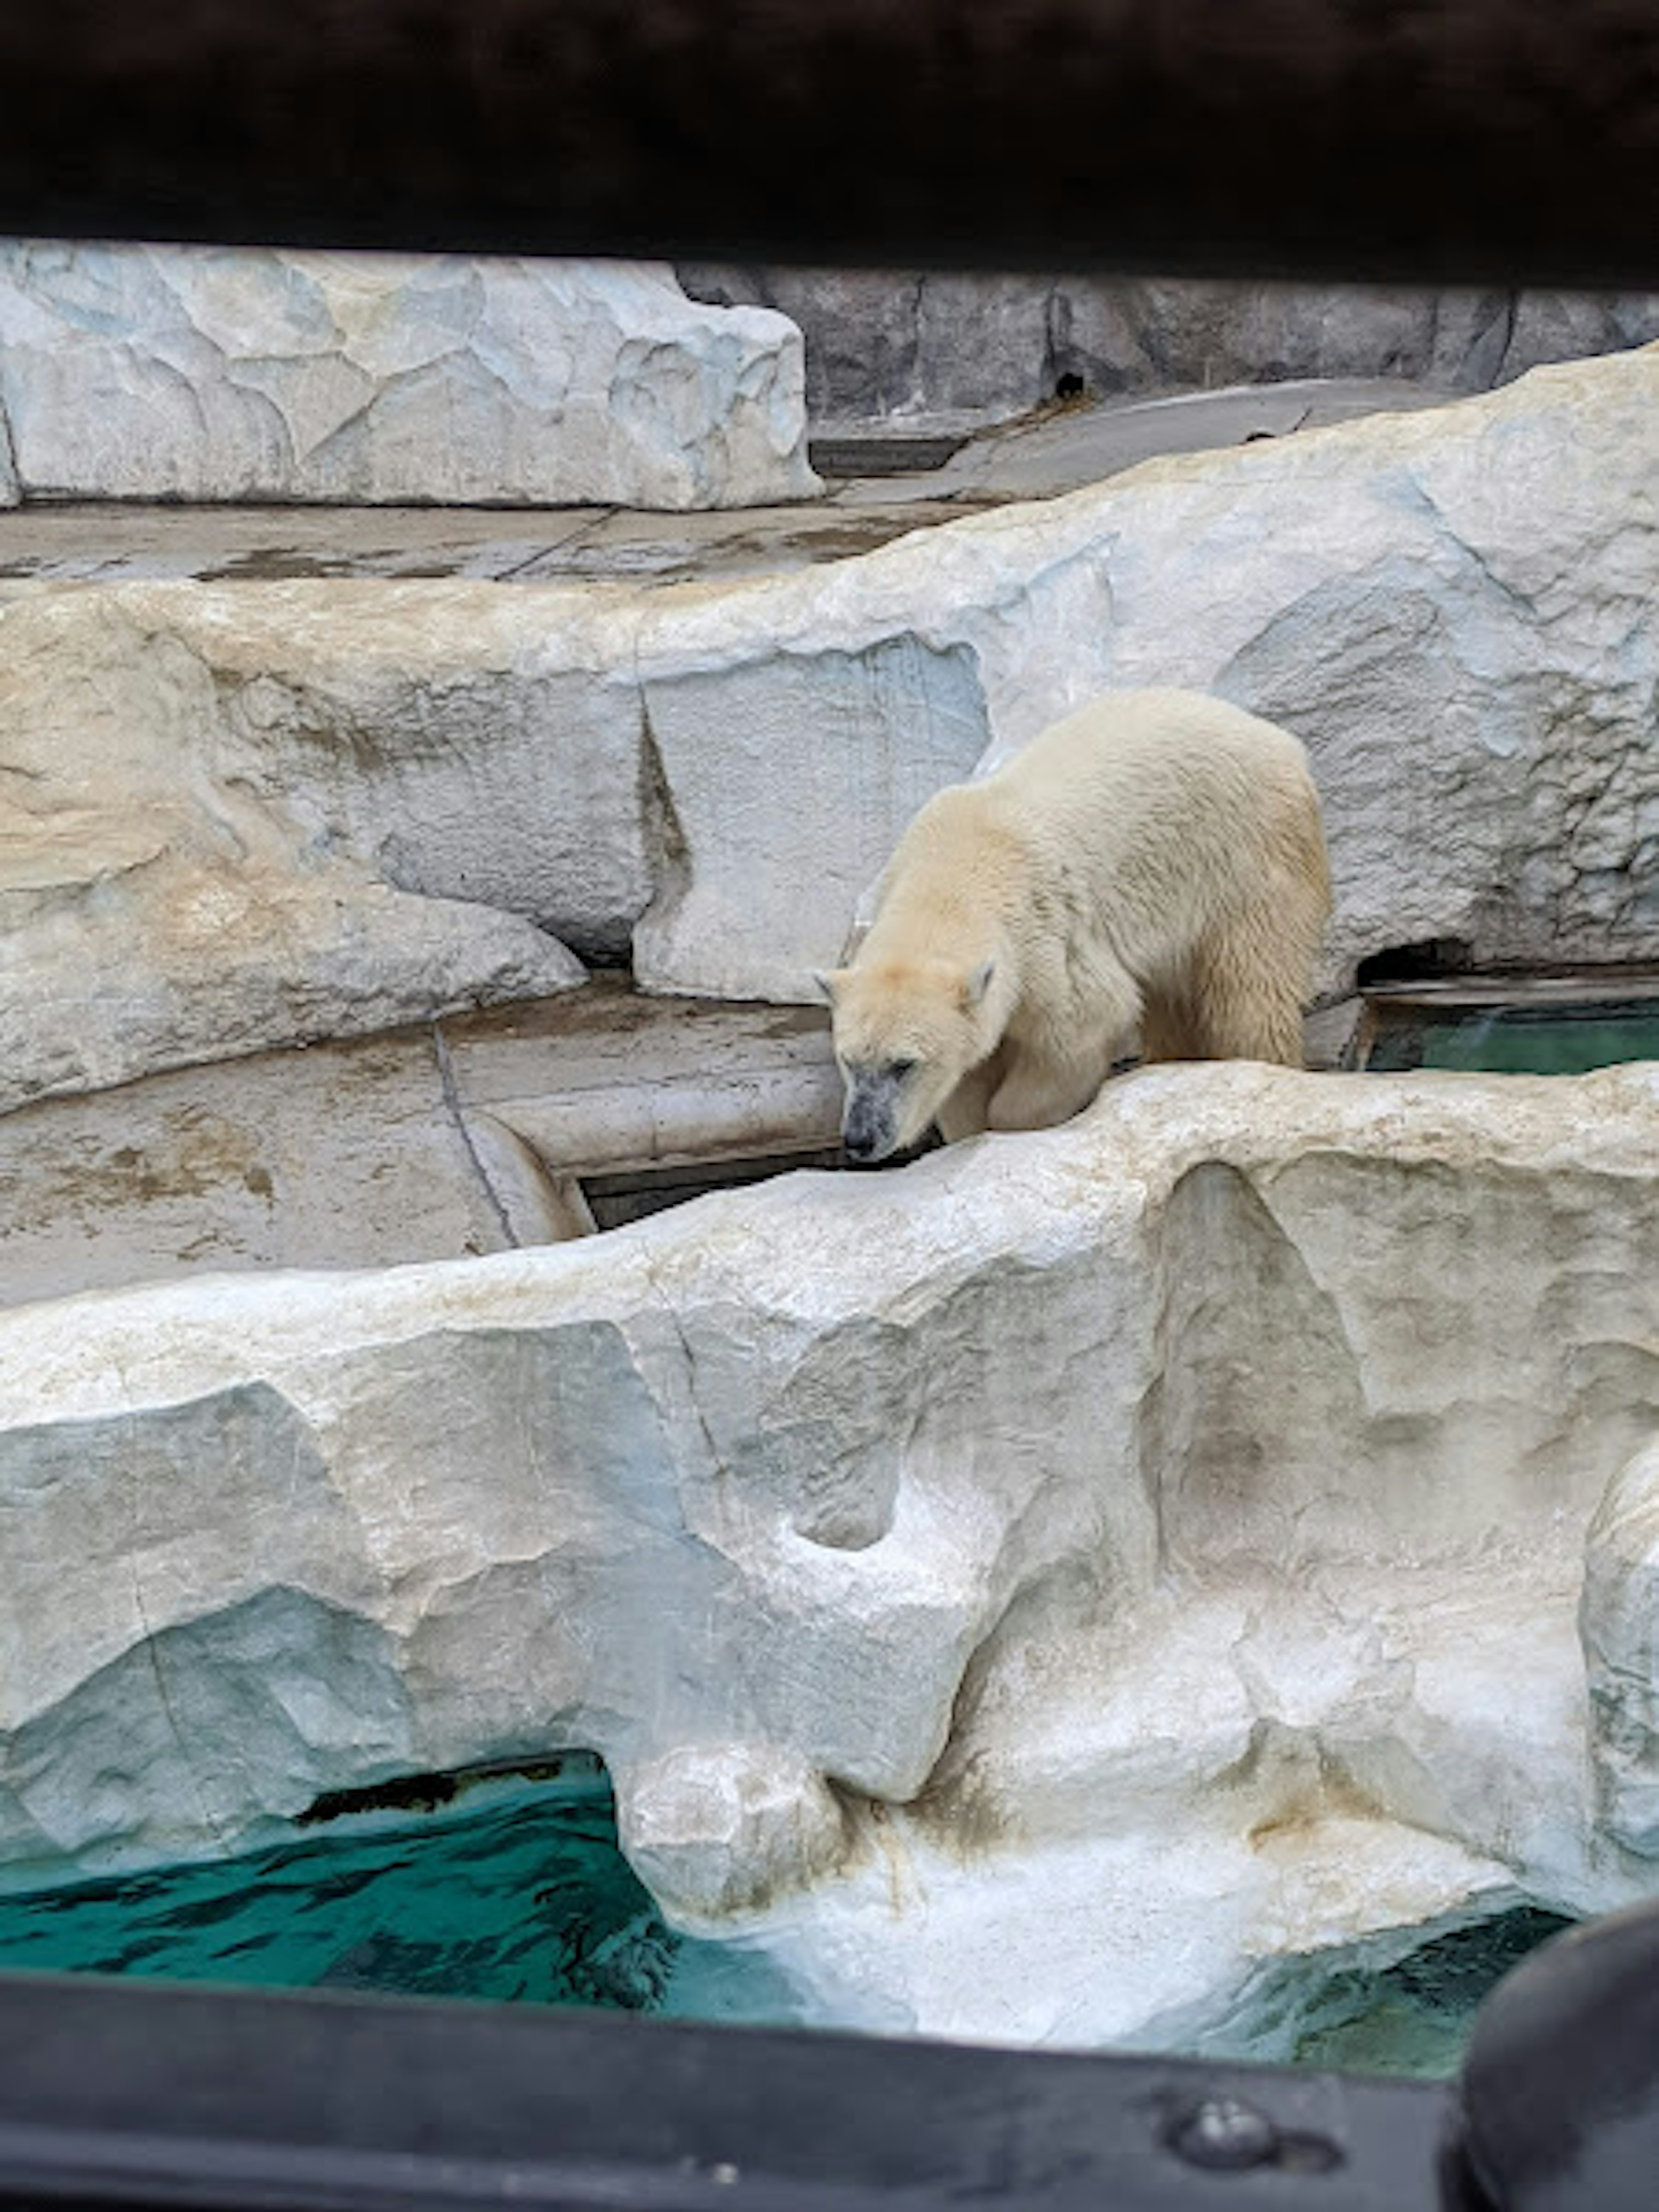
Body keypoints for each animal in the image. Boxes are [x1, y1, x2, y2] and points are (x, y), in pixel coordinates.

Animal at [823, 690, 1336, 1168]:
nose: (860, 1138)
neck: (956, 867)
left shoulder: (1044, 939)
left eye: (903, 1064)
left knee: (1249, 991)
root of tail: (1284, 745)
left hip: (1247, 856)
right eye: (849, 1059)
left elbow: (1082, 1024)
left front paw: (1008, 1125)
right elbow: (969, 1073)